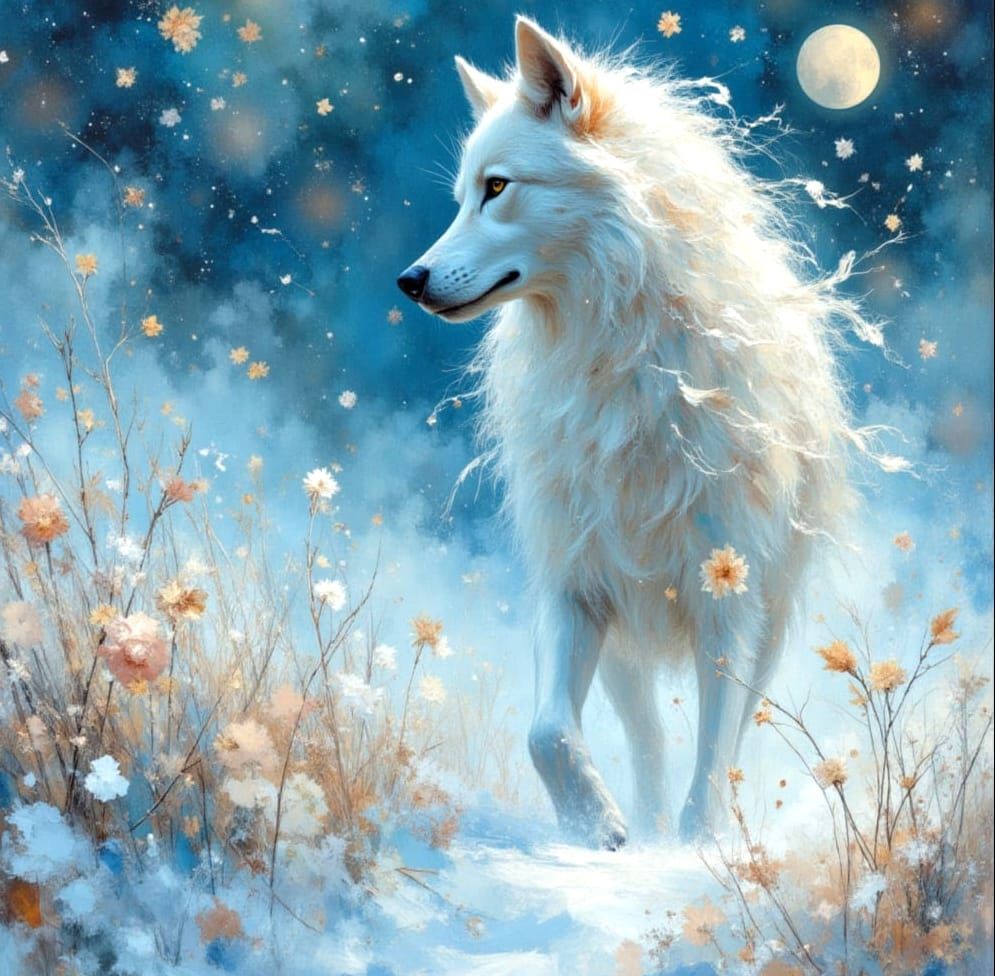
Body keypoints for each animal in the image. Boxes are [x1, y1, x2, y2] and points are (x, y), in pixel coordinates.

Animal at [397, 17, 874, 849]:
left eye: (497, 188)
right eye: (460, 197)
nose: (410, 281)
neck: (616, 361)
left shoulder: (729, 603)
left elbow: (714, 755)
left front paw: (700, 846)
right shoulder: (575, 584)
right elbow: (547, 733)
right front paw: (598, 827)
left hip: (770, 620)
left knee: (731, 729)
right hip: (625, 642)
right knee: (646, 739)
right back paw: (641, 821)